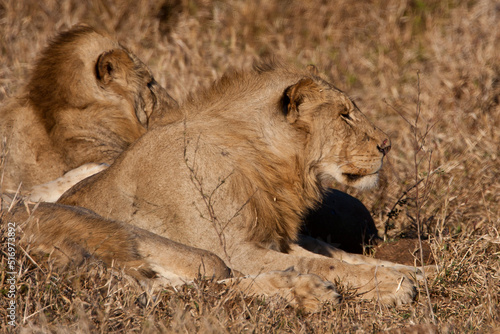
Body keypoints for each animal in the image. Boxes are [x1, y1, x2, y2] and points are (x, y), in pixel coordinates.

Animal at [7, 61, 422, 310]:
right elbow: (325, 264)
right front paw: (394, 284)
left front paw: (415, 271)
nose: (387, 144)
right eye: (344, 115)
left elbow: (344, 257)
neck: (269, 166)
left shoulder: (278, 238)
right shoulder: (237, 250)